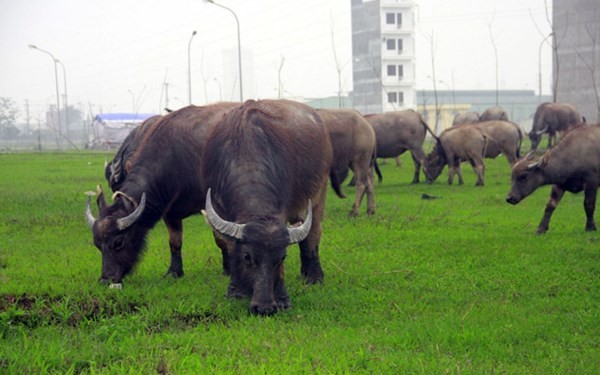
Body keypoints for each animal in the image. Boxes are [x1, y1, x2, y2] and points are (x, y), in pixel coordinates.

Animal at [85, 101, 239, 286]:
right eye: (97, 245)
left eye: (118, 242)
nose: (105, 279)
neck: (178, 159)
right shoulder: (169, 210)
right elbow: (174, 242)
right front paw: (174, 271)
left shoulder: (211, 205)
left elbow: (221, 239)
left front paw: (228, 269)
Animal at [200, 100, 332, 318]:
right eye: (247, 257)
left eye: (282, 257)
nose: (263, 308)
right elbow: (230, 246)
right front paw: (235, 290)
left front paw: (282, 299)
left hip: (319, 192)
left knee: (313, 234)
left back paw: (313, 276)